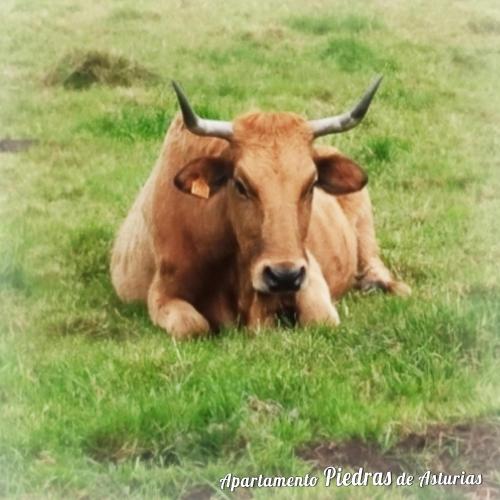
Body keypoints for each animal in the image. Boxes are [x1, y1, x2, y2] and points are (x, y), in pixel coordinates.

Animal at [110, 76, 410, 338]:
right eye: (241, 185)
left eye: (311, 184)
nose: (284, 276)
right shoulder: (162, 293)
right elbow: (193, 326)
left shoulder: (309, 275)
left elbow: (319, 319)